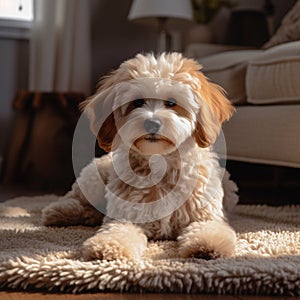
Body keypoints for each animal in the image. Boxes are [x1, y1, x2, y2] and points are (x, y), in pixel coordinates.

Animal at [42, 52, 239, 262]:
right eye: (137, 102)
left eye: (171, 102)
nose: (152, 123)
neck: (160, 163)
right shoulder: (125, 216)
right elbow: (117, 231)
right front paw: (108, 247)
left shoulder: (205, 216)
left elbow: (207, 229)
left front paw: (207, 246)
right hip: (93, 179)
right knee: (75, 197)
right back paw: (59, 211)